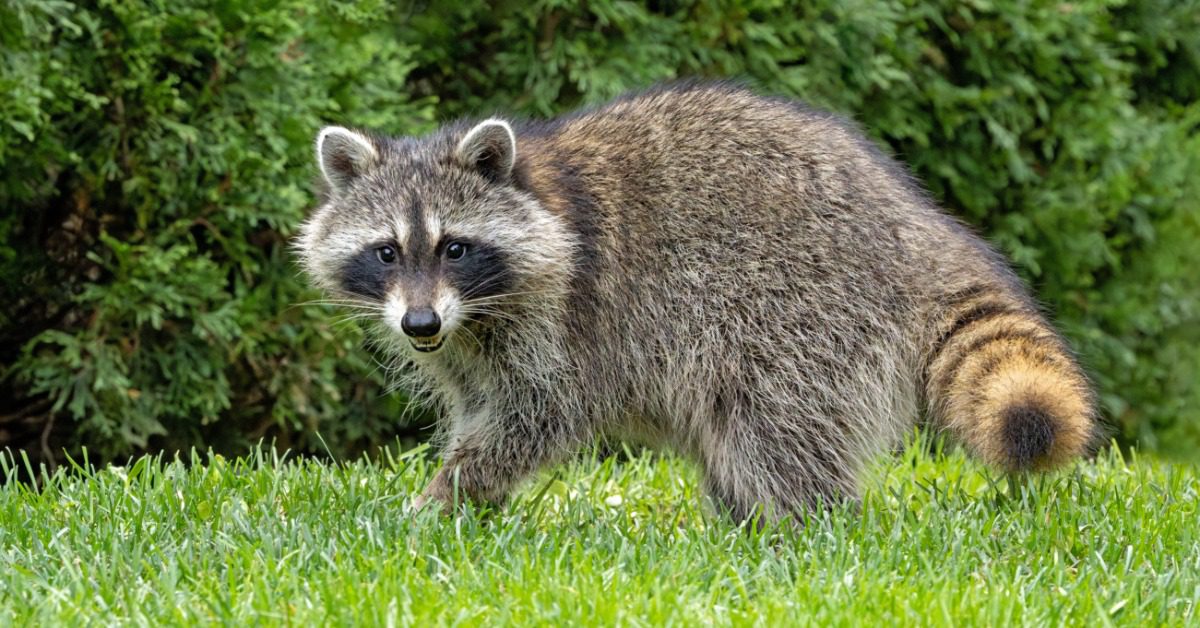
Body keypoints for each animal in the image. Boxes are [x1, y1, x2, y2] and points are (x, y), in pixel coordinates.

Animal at [296, 82, 1100, 522]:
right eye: (387, 252)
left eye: (455, 248)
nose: (419, 322)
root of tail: (916, 227)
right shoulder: (467, 345)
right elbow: (483, 405)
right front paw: (461, 499)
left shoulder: (566, 319)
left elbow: (541, 414)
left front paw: (445, 497)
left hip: (804, 308)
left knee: (775, 426)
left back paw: (804, 527)